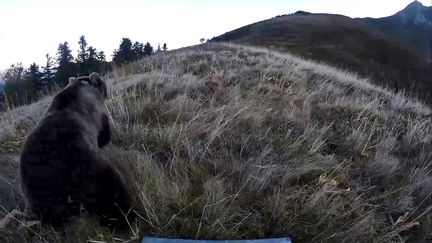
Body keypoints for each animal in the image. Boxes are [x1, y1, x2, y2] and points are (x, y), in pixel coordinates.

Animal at [19, 72, 133, 228]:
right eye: (102, 83)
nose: (105, 87)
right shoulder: (97, 114)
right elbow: (104, 133)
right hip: (85, 168)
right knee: (109, 190)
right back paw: (124, 218)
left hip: (37, 191)